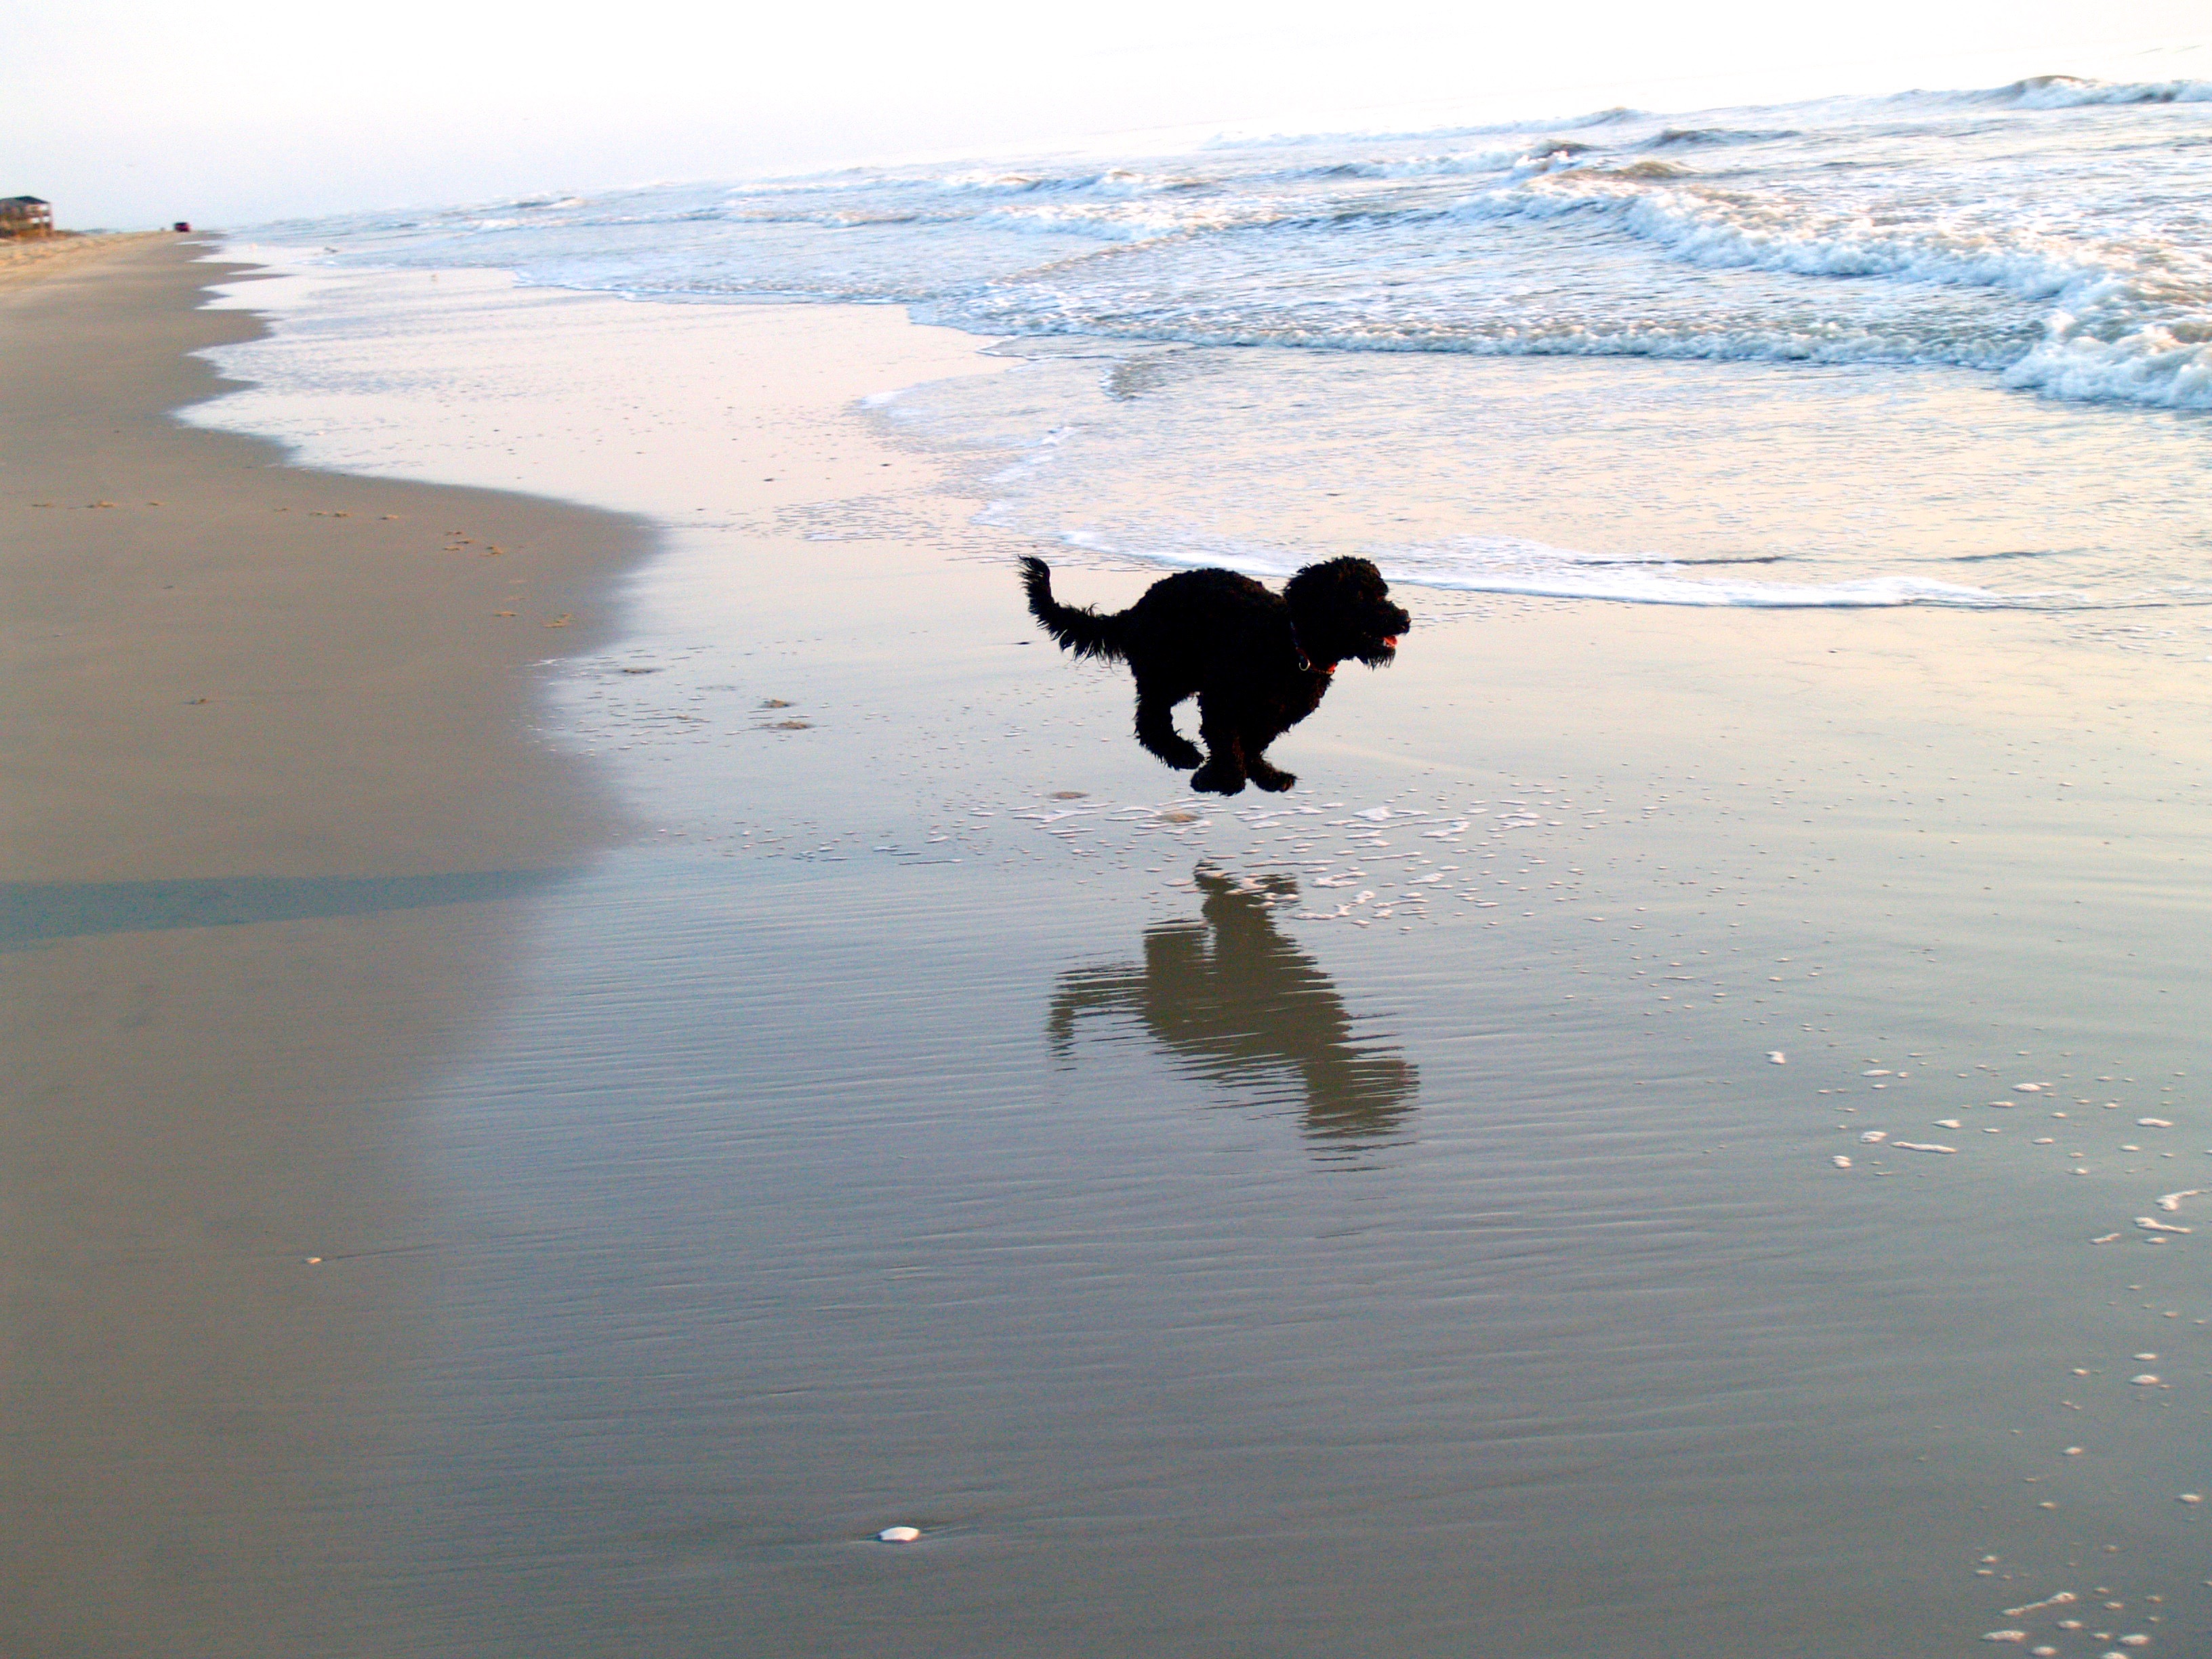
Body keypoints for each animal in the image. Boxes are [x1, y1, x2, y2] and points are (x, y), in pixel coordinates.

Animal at [1012, 555, 1406, 796]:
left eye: (1383, 592)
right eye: (1359, 596)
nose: (1404, 619)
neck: (1293, 645)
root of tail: (1139, 607)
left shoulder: (1278, 714)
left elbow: (1254, 742)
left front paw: (1265, 775)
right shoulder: (1220, 700)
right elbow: (1228, 743)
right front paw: (1215, 778)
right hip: (1167, 672)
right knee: (1150, 720)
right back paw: (1181, 755)